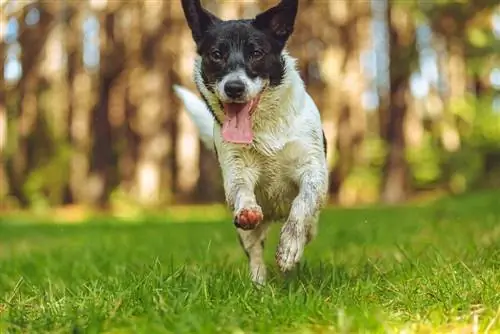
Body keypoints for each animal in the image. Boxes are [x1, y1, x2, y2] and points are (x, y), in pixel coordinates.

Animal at [174, 0, 330, 284]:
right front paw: (247, 209)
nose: (234, 87)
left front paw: (289, 247)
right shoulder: (236, 169)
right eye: (216, 54)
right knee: (255, 251)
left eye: (256, 52)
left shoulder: (312, 170)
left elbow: (302, 205)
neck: (264, 127)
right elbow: (241, 190)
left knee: (308, 225)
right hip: (248, 233)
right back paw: (258, 285)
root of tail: (275, 215)